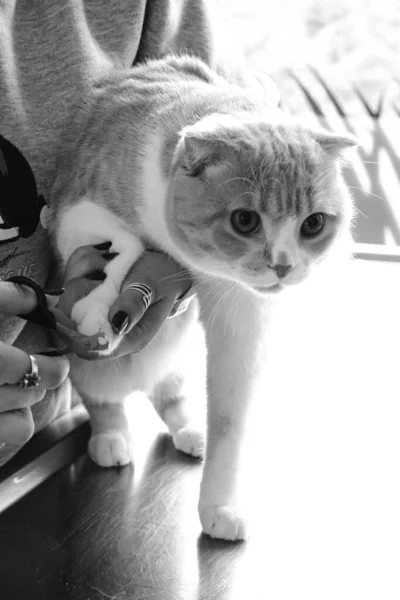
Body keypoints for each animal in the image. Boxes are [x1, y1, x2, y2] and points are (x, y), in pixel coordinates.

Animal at [47, 55, 356, 544]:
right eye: (245, 220)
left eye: (313, 224)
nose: (283, 266)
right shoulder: (74, 210)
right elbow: (125, 245)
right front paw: (98, 306)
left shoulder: (243, 316)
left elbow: (230, 421)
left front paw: (219, 505)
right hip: (95, 371)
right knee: (105, 397)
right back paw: (111, 437)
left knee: (170, 392)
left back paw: (192, 430)